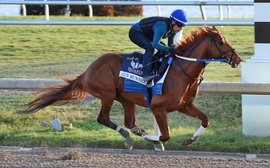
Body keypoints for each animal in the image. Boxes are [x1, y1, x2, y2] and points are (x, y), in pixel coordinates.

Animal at [18, 25, 243, 151]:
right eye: (221, 41)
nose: (237, 58)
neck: (181, 71)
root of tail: (88, 71)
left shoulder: (184, 105)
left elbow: (205, 120)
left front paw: (189, 141)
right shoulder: (158, 108)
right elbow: (165, 134)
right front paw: (154, 138)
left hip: (126, 99)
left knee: (130, 122)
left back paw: (136, 135)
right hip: (107, 94)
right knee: (104, 119)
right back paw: (130, 138)